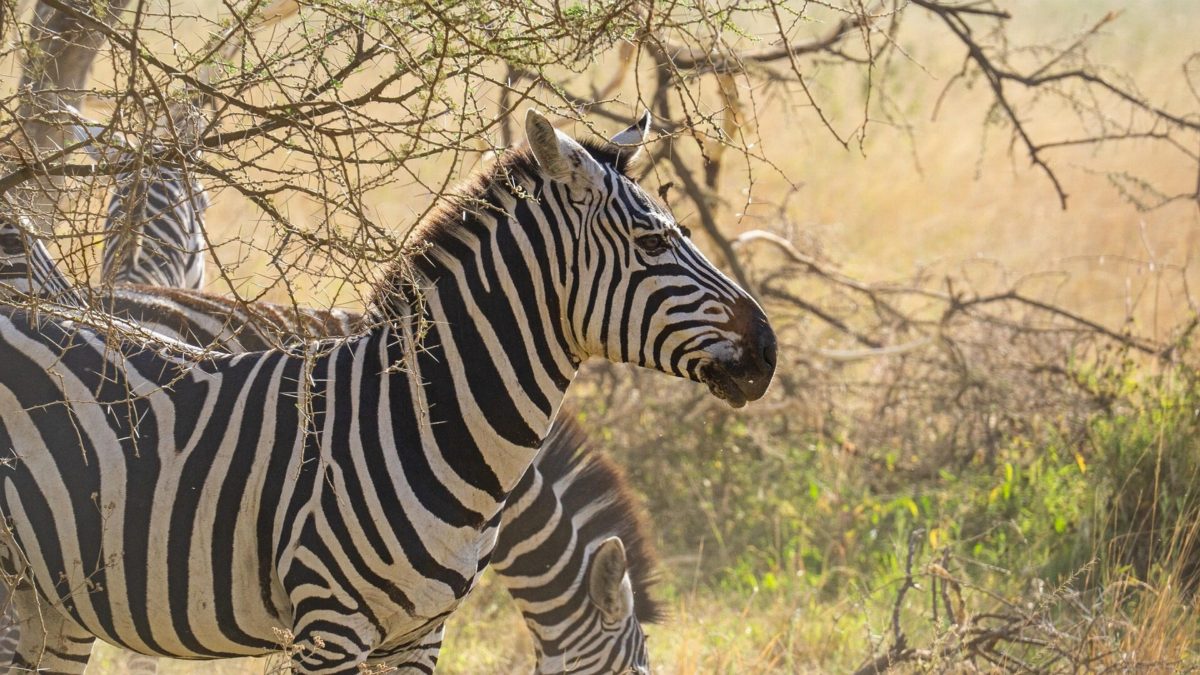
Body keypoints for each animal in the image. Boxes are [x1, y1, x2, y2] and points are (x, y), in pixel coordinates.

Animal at [0, 109, 775, 673]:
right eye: (653, 244)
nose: (767, 351)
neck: (427, 421)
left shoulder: (419, 632)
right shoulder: (327, 626)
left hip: (49, 597)